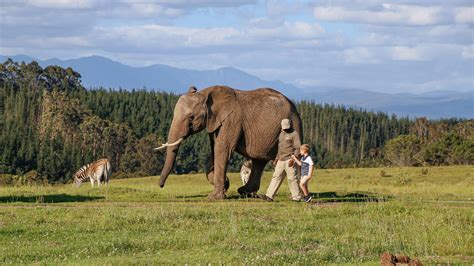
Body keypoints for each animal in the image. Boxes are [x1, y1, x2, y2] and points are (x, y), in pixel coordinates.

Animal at [157, 85, 302, 200]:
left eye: (191, 117)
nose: (161, 185)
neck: (205, 93)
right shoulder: (214, 122)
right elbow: (214, 150)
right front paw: (224, 185)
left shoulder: (231, 119)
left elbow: (222, 149)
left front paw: (214, 197)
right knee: (259, 161)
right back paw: (245, 192)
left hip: (294, 123)